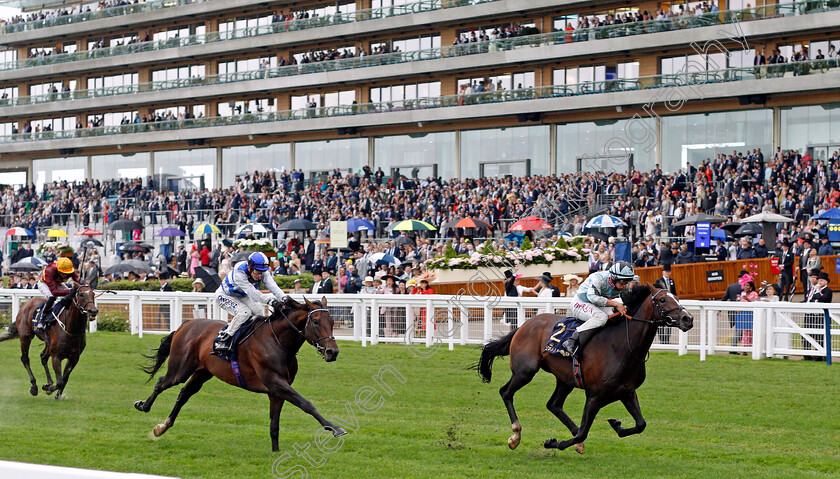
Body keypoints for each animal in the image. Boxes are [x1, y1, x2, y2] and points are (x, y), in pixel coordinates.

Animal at [136, 294, 346, 452]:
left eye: (332, 321)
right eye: (316, 321)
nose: (332, 352)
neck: (278, 341)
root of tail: (185, 325)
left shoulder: (277, 391)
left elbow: (274, 425)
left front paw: (275, 452)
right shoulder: (275, 382)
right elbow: (306, 404)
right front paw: (335, 428)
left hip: (202, 372)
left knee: (184, 394)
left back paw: (162, 427)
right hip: (180, 369)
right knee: (162, 382)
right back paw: (143, 405)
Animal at [476, 284, 692, 454]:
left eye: (676, 297)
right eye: (663, 299)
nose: (687, 318)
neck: (622, 346)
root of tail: (524, 325)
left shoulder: (627, 392)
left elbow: (641, 424)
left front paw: (616, 424)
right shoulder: (594, 396)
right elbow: (583, 431)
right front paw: (552, 442)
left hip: (565, 379)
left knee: (553, 405)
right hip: (525, 371)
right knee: (506, 392)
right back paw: (515, 436)